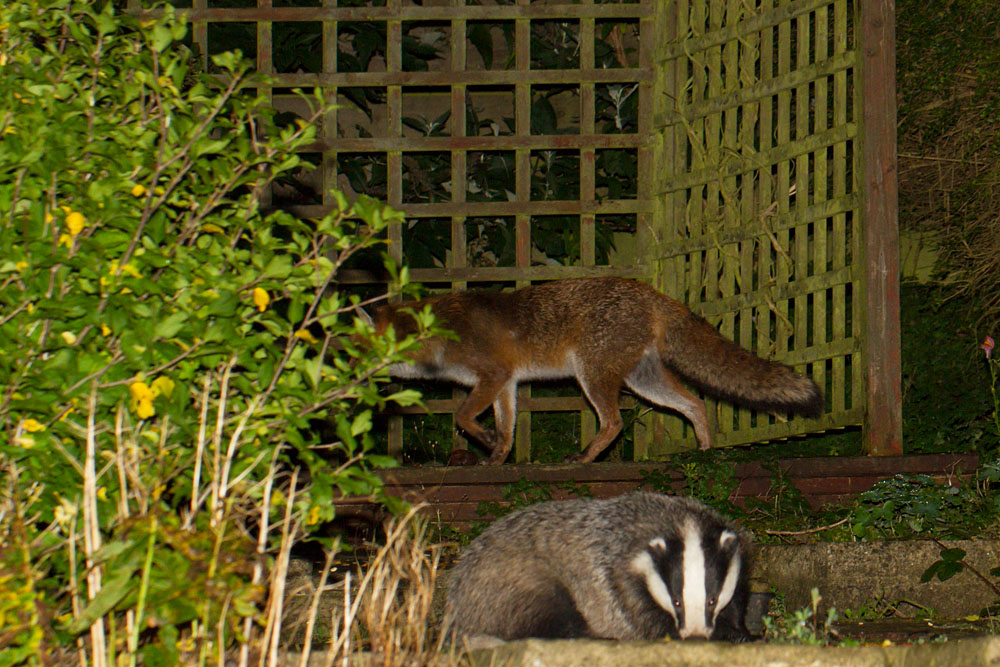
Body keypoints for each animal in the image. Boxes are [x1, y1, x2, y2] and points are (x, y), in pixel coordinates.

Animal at [371, 277, 823, 464]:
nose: (360, 374)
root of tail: (652, 292)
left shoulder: (493, 376)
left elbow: (462, 417)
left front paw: (483, 443)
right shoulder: (506, 384)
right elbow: (507, 430)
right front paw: (496, 457)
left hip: (592, 374)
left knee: (614, 422)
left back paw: (586, 458)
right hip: (644, 380)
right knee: (694, 404)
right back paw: (706, 452)